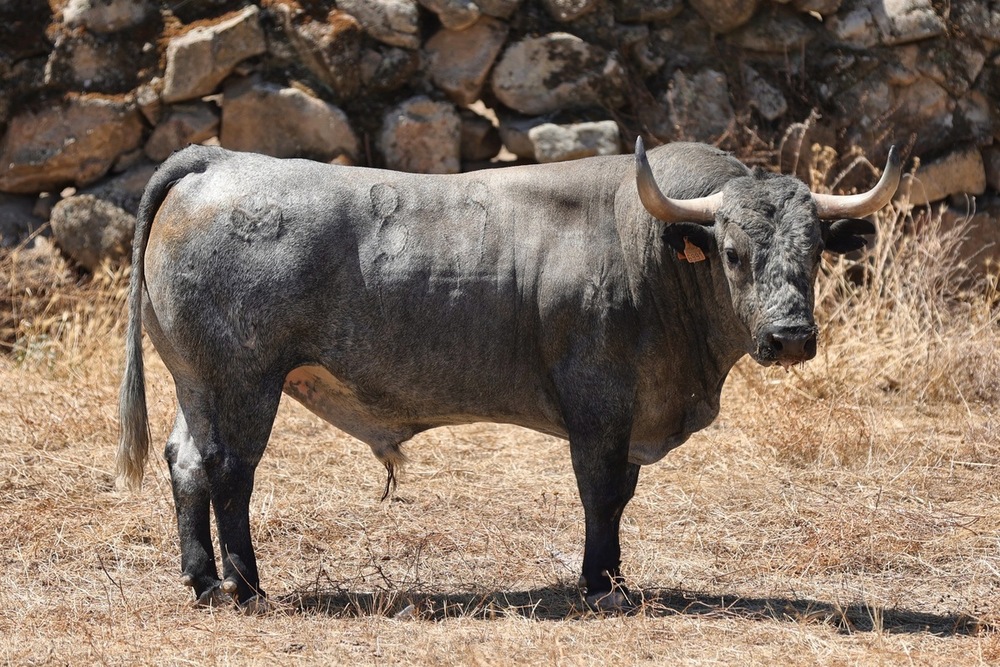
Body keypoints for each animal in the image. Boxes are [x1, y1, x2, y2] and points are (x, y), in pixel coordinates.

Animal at [115, 138, 900, 612]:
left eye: (815, 252)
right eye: (733, 252)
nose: (790, 336)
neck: (647, 251)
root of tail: (216, 160)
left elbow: (619, 497)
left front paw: (612, 576)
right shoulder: (599, 408)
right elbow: (601, 495)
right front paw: (599, 583)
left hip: (197, 381)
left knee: (187, 460)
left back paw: (202, 578)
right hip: (245, 382)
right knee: (229, 471)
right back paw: (246, 585)